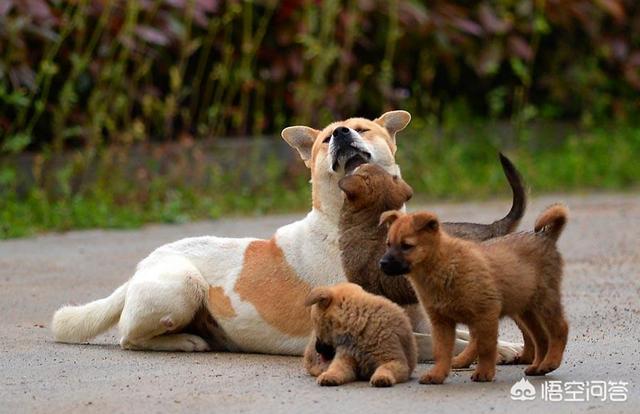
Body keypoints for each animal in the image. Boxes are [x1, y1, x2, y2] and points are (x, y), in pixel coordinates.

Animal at [378, 205, 568, 384]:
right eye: (388, 244)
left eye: (406, 246)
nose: (382, 263)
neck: (443, 265)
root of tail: (545, 237)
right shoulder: (441, 322)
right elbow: (442, 350)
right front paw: (437, 374)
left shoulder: (485, 312)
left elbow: (485, 346)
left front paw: (484, 372)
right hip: (525, 309)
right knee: (540, 338)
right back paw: (536, 366)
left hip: (544, 302)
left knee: (560, 328)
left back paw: (550, 361)